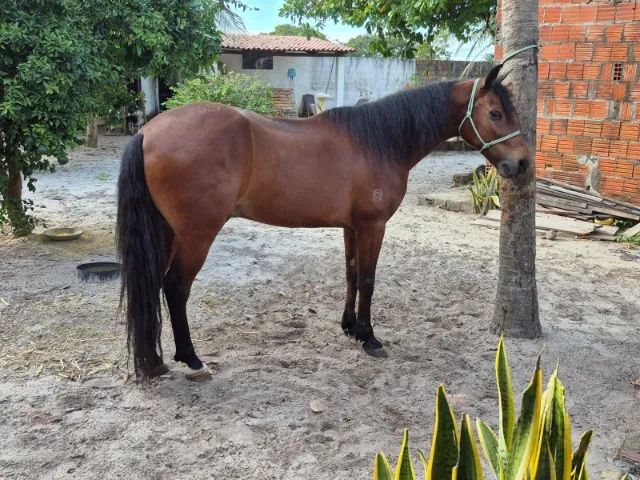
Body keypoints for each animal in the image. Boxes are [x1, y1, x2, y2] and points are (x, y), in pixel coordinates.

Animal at [116, 64, 530, 381]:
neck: (378, 141)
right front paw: (369, 337)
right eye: (495, 113)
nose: (523, 163)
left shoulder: (351, 227)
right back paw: (191, 359)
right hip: (196, 234)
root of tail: (148, 131)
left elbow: (350, 274)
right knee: (175, 287)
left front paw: (349, 328)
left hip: (168, 232)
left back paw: (154, 362)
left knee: (152, 285)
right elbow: (368, 279)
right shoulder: (373, 226)